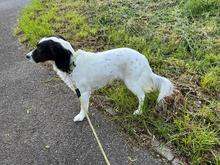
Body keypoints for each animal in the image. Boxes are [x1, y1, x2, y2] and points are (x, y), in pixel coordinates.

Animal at [26, 35, 174, 121]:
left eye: (40, 50)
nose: (26, 56)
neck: (71, 63)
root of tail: (144, 59)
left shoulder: (84, 92)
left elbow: (83, 106)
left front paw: (81, 116)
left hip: (131, 82)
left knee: (142, 96)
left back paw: (139, 111)